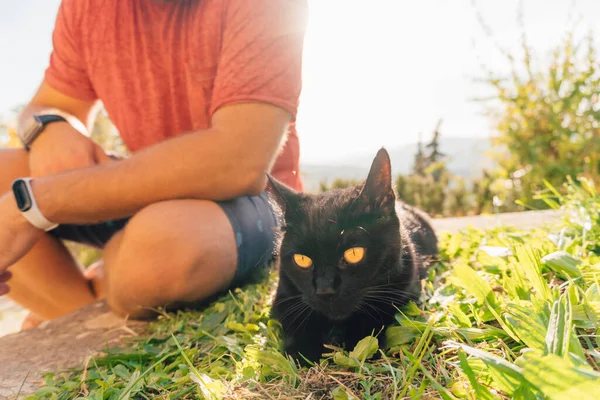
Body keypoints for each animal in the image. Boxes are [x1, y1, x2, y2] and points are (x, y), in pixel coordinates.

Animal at [268, 148, 436, 364]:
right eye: (302, 259)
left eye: (354, 253)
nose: (325, 290)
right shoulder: (284, 296)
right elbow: (297, 319)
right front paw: (302, 350)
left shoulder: (405, 291)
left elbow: (376, 314)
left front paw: (355, 342)